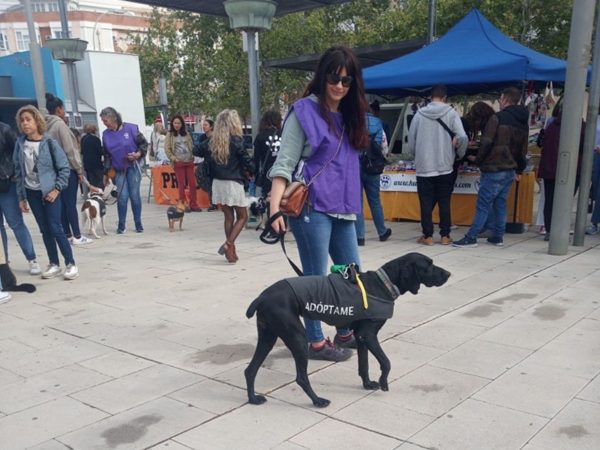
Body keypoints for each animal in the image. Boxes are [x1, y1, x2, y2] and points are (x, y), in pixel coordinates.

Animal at [245, 253, 450, 408]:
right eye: (428, 265)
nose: (449, 273)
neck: (383, 284)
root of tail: (261, 298)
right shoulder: (368, 336)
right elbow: (386, 362)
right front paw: (383, 382)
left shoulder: (360, 337)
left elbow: (364, 365)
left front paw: (367, 384)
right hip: (298, 338)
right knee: (301, 378)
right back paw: (318, 401)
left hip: (268, 337)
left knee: (250, 370)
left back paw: (253, 399)